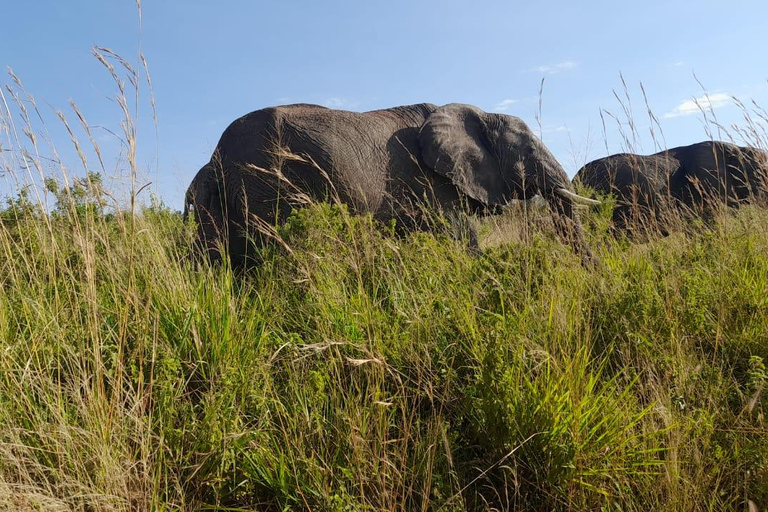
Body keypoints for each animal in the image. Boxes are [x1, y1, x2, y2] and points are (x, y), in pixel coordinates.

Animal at [184, 102, 600, 266]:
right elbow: (462, 240)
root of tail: (216, 157)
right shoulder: (433, 183)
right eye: (528, 150)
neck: (480, 112)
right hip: (263, 183)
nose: (594, 272)